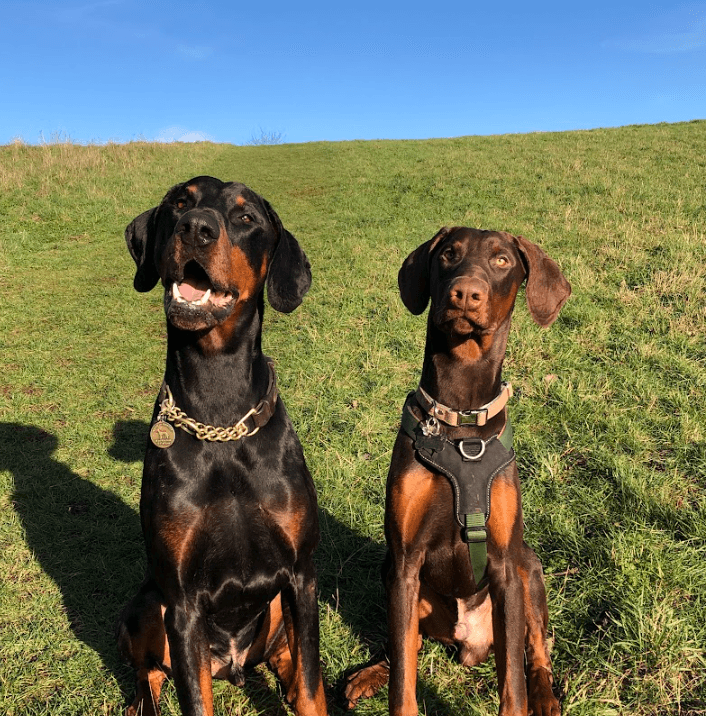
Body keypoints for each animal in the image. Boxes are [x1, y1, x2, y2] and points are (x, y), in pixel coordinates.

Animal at [117, 178, 326, 716]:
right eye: (180, 202)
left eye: (245, 217)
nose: (196, 229)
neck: (220, 420)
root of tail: (228, 663)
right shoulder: (182, 600)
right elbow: (195, 699)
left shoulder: (301, 576)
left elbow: (312, 683)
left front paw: (307, 692)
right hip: (146, 604)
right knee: (150, 674)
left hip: (275, 608)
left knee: (289, 662)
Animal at [344, 228, 568, 716]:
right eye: (449, 254)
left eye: (502, 260)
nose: (465, 292)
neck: (462, 416)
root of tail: (470, 644)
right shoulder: (405, 561)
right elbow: (404, 678)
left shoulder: (505, 566)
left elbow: (513, 682)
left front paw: (527, 696)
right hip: (393, 574)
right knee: (403, 646)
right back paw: (372, 672)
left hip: (529, 568)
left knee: (535, 649)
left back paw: (545, 694)